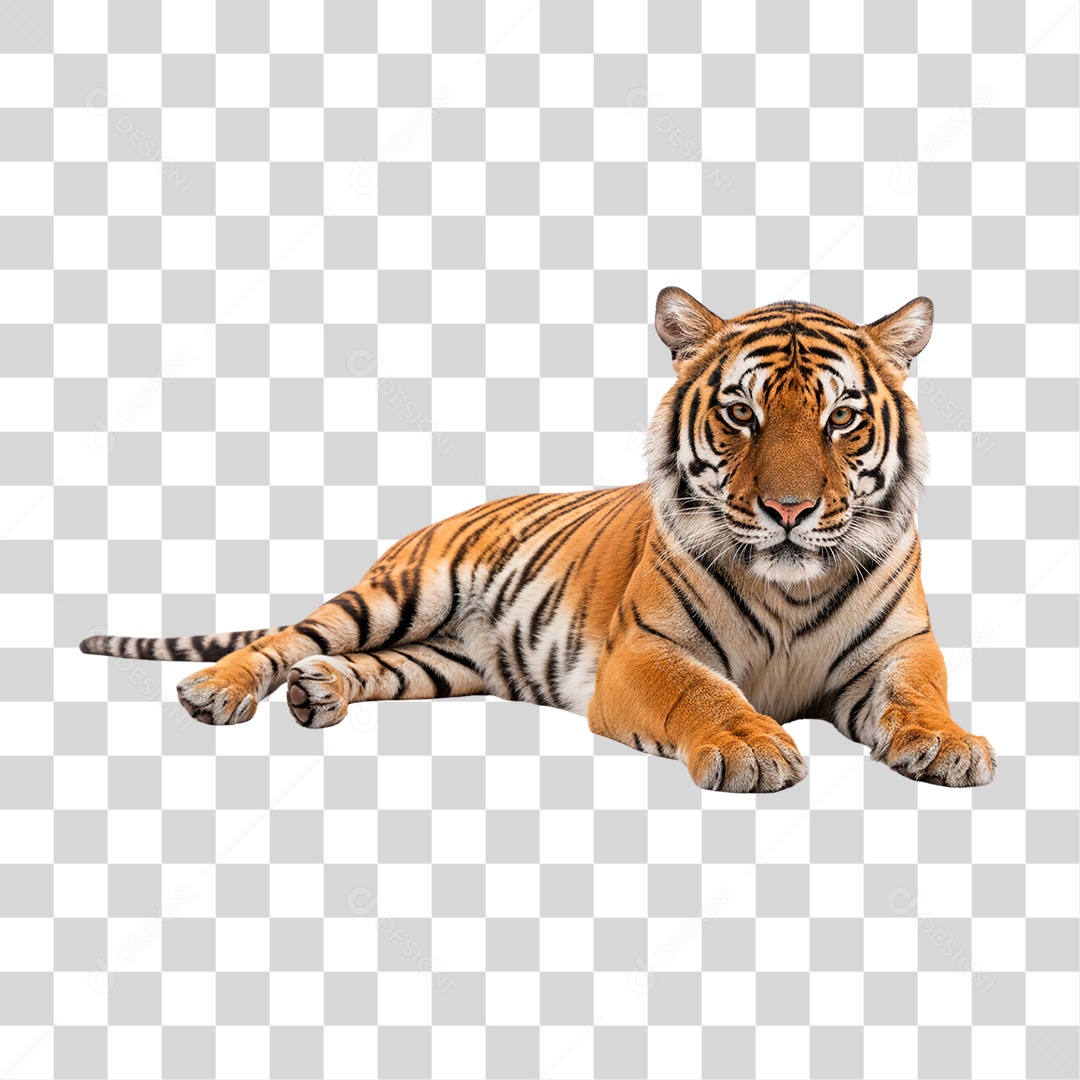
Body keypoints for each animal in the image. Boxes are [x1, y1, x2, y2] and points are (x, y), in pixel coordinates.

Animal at [80, 287, 997, 792]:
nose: (790, 510)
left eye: (841, 419)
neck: (791, 582)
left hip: (443, 661)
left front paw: (951, 746)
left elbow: (920, 698)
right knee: (287, 638)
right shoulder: (645, 652)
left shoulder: (902, 649)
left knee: (361, 665)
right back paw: (217, 690)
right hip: (396, 594)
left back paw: (320, 694)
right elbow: (707, 695)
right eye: (742, 413)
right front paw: (751, 747)